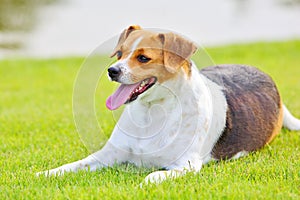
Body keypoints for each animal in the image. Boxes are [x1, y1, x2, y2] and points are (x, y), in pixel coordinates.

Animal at [37, 24, 300, 183]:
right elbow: (71, 166)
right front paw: (45, 173)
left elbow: (153, 175)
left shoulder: (187, 164)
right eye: (120, 54)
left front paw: (145, 181)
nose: (112, 71)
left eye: (143, 58)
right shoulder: (106, 155)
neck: (152, 112)